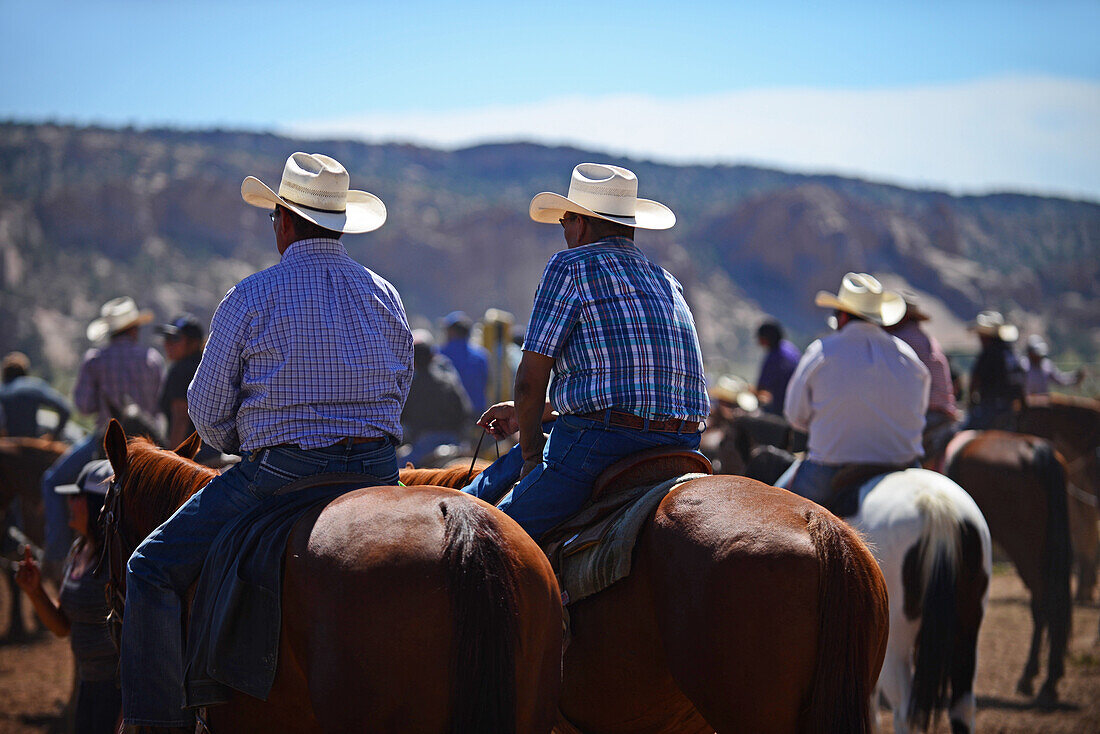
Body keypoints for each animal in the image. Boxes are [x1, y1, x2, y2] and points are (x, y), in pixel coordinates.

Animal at [946, 431, 1073, 704]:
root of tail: (1035, 448)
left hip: (1023, 545)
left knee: (1045, 602)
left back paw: (1041, 681)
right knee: (1047, 604)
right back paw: (1044, 678)